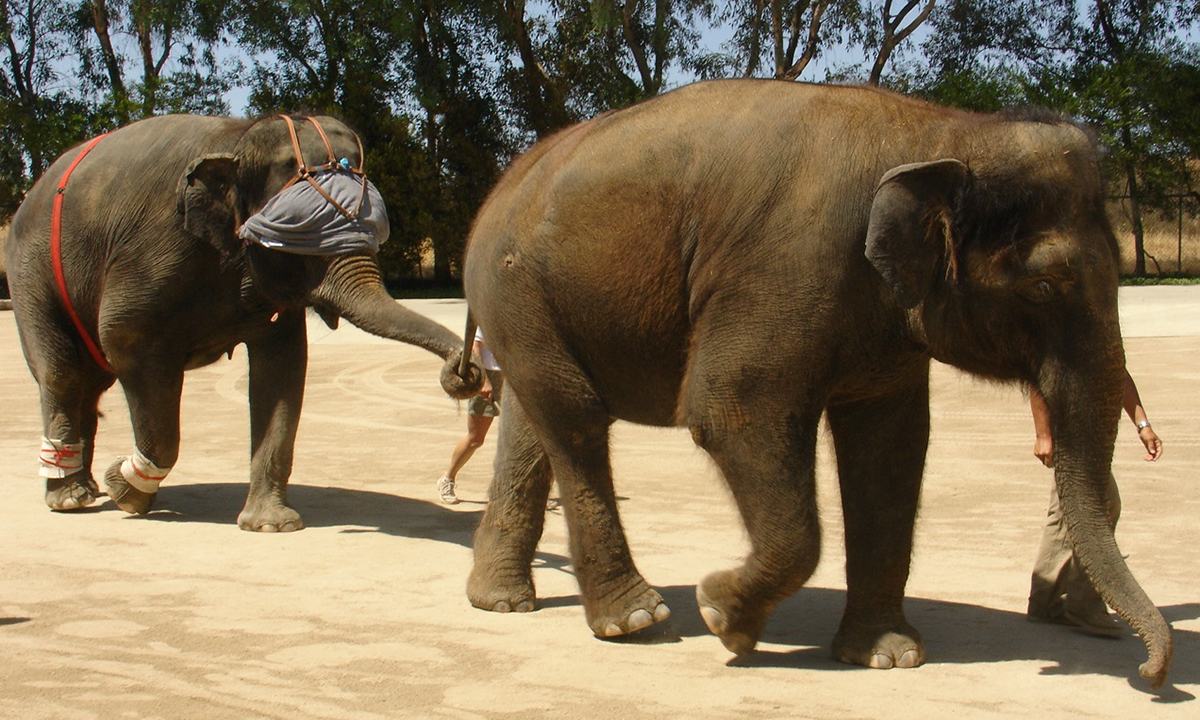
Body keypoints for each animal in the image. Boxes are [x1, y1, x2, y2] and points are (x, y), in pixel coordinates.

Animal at [5, 112, 482, 528]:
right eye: (303, 238)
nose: (464, 371)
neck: (241, 137)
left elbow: (283, 367)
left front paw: (271, 524)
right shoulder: (153, 249)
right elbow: (125, 337)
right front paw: (127, 490)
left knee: (88, 380)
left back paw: (84, 489)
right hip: (31, 272)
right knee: (63, 373)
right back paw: (70, 497)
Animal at [456, 81, 1171, 691]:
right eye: (1044, 286)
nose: (1148, 675)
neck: (942, 131)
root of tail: (499, 189)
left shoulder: (884, 324)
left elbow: (890, 447)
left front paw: (887, 657)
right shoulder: (785, 266)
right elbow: (731, 409)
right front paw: (722, 616)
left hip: (526, 302)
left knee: (534, 421)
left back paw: (501, 602)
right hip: (513, 283)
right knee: (575, 418)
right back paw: (636, 622)